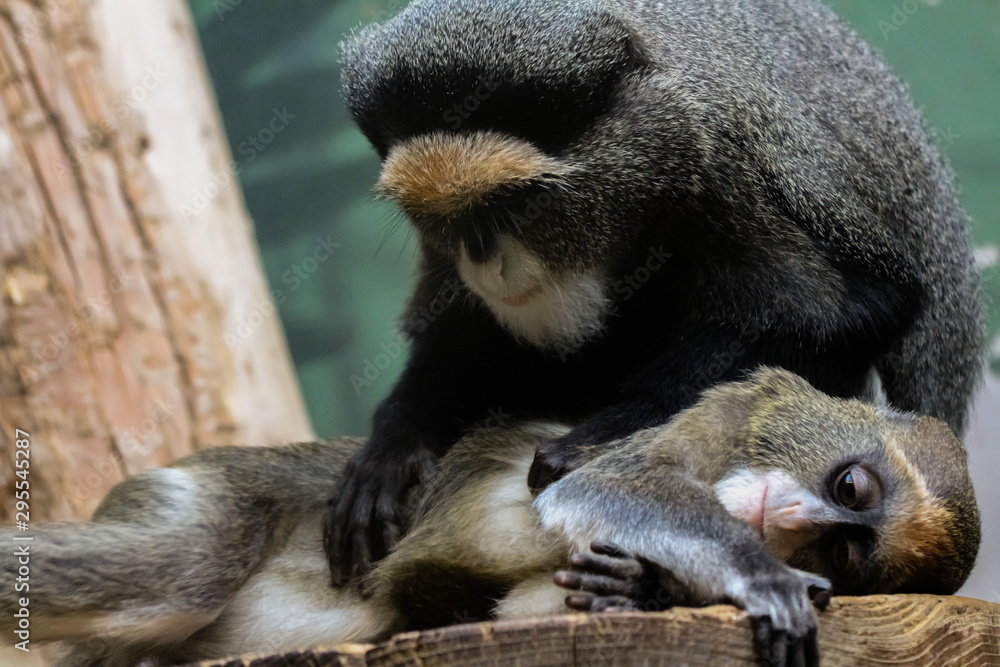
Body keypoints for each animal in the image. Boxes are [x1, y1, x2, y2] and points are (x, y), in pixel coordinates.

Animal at [0, 369, 980, 667]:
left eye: (845, 547)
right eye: (852, 488)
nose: (796, 517)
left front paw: (636, 588)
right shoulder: (719, 415)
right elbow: (603, 483)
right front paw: (762, 575)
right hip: (208, 492)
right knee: (181, 561)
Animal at [324, 0, 983, 584]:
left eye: (519, 202)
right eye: (447, 218)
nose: (484, 259)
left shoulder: (727, 168)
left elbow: (839, 317)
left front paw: (600, 440)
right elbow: (458, 336)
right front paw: (392, 446)